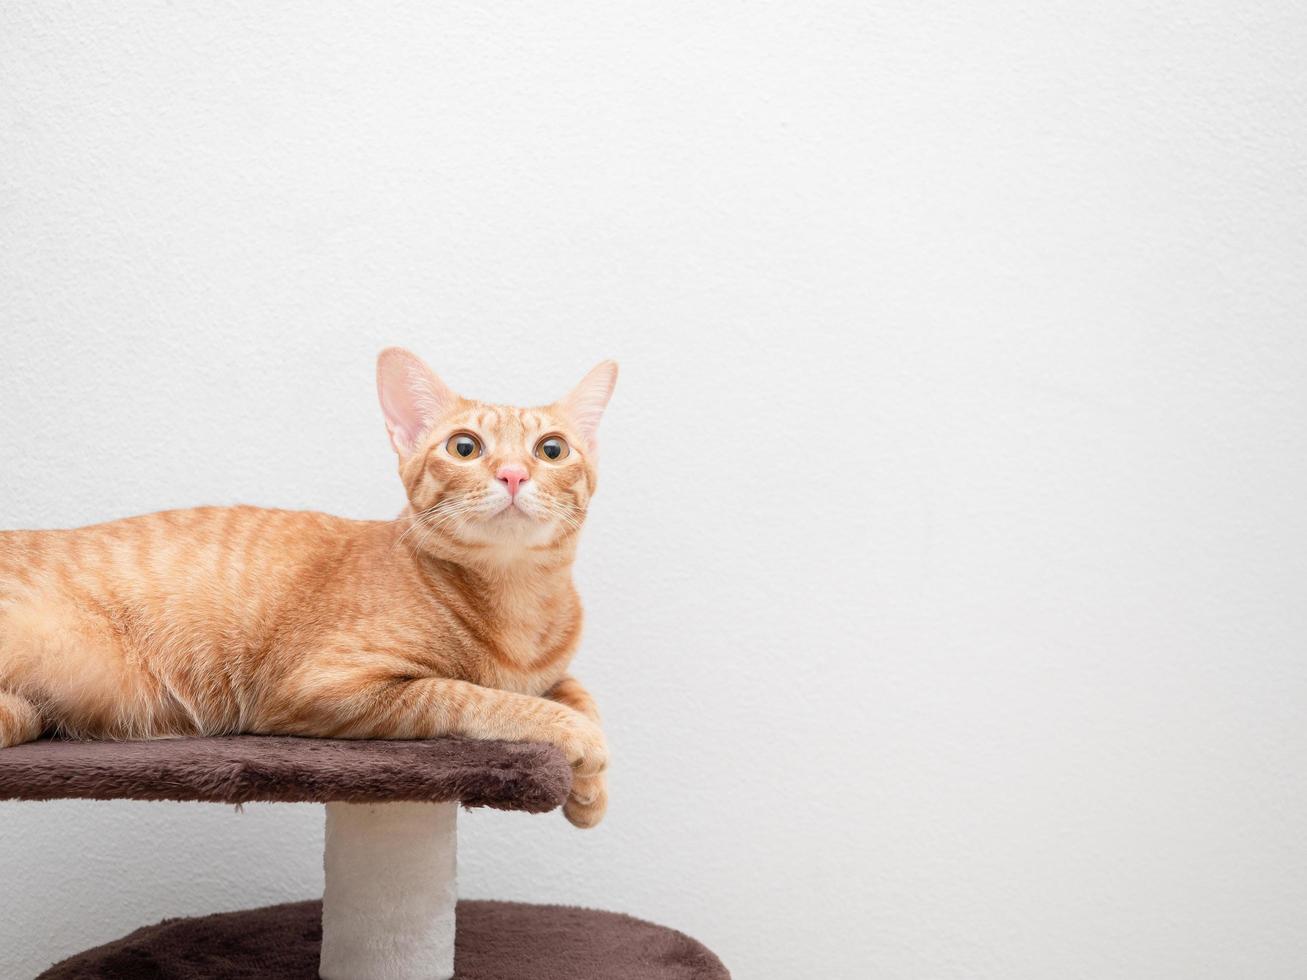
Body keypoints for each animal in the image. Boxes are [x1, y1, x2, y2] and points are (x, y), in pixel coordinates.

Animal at [0, 350, 616, 831]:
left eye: (552, 450)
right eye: (465, 447)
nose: (513, 474)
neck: (519, 604)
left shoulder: (552, 670)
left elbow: (576, 691)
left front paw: (591, 790)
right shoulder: (327, 687)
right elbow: (477, 696)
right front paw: (577, 739)